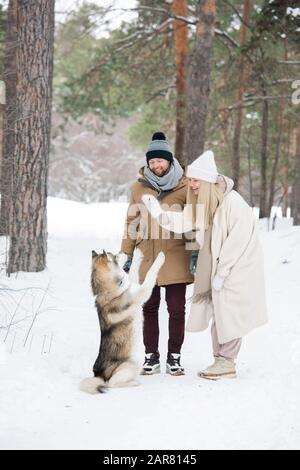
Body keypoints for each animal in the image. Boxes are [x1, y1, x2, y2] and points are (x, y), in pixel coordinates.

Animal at [78, 248, 165, 394]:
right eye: (115, 255)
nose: (123, 251)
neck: (110, 290)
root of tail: (99, 375)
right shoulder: (143, 292)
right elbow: (150, 273)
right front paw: (160, 257)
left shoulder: (135, 285)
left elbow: (134, 271)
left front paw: (137, 254)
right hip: (131, 363)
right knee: (112, 384)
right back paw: (134, 383)